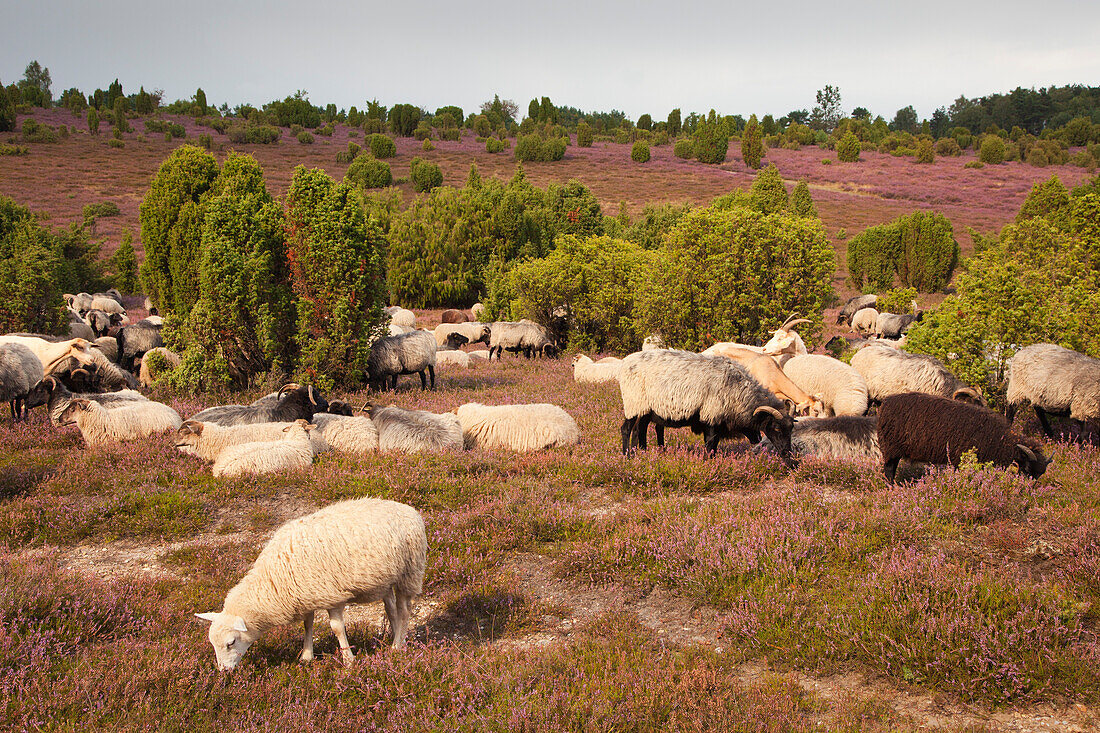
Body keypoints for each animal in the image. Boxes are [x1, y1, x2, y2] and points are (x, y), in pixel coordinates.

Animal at [195, 497, 426, 669]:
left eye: (231, 642)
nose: (223, 671)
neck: (273, 581)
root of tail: (410, 510)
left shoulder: (332, 595)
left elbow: (336, 628)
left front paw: (348, 660)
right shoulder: (306, 594)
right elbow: (308, 623)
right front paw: (306, 656)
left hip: (409, 572)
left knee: (404, 611)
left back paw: (396, 647)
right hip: (387, 579)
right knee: (392, 610)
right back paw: (398, 638)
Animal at [620, 347, 792, 462]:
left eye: (791, 429)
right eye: (776, 428)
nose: (787, 453)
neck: (738, 391)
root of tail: (625, 362)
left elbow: (714, 444)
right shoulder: (711, 416)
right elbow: (710, 443)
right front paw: (708, 462)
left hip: (645, 409)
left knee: (640, 430)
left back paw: (642, 453)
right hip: (633, 403)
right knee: (626, 429)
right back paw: (627, 456)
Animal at [875, 394, 1047, 479]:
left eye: (1040, 474)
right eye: (1026, 469)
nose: (1026, 491)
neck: (1001, 441)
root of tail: (886, 403)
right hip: (891, 448)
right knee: (889, 470)